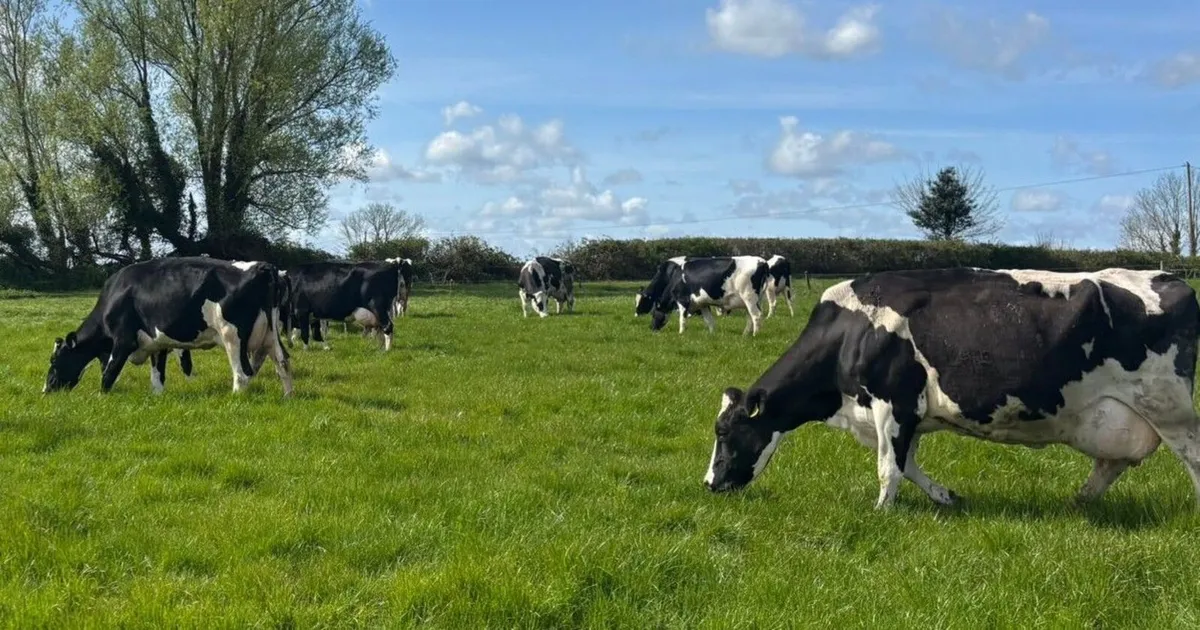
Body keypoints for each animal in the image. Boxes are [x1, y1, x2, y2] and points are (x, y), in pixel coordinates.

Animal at [43, 256, 293, 396]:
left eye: (54, 360)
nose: (46, 390)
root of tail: (263, 266)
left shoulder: (123, 340)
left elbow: (109, 372)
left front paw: (101, 397)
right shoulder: (158, 343)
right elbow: (157, 376)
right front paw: (157, 397)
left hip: (232, 336)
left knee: (243, 373)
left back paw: (235, 398)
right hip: (270, 336)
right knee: (283, 362)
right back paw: (288, 396)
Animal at [635, 255, 770, 336]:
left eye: (653, 314)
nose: (651, 328)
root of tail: (762, 261)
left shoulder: (682, 300)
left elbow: (682, 319)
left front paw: (681, 333)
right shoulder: (702, 303)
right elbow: (709, 320)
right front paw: (712, 334)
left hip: (749, 297)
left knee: (756, 315)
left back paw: (755, 335)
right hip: (753, 300)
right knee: (750, 317)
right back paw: (745, 334)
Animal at [703, 267, 1200, 512]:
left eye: (724, 434)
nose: (709, 484)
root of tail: (1168, 277)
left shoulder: (892, 404)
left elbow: (889, 468)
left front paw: (881, 513)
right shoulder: (907, 415)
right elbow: (908, 464)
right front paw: (945, 497)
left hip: (1170, 409)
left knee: (1192, 459)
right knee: (1112, 462)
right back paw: (1079, 502)